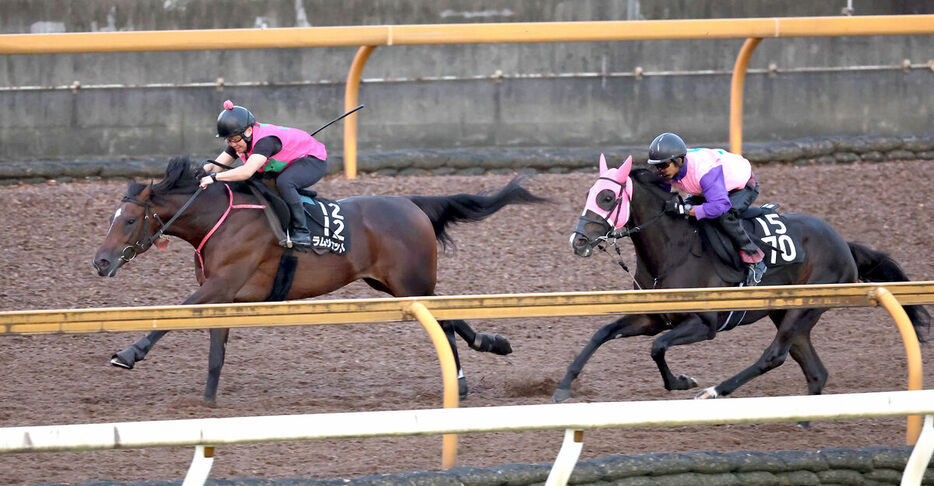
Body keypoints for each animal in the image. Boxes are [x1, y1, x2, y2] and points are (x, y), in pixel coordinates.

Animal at [93, 157, 548, 402]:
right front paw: (206, 404)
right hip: (390, 284)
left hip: (409, 283)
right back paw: (483, 354)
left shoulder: (219, 285)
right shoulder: (224, 295)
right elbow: (216, 350)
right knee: (448, 317)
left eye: (129, 219)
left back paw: (467, 373)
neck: (220, 219)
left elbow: (175, 313)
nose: (100, 261)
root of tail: (411, 202)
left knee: (445, 320)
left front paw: (128, 353)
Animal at [556, 155, 928, 402]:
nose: (578, 241)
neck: (674, 250)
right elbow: (603, 333)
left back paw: (715, 391)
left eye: (607, 197)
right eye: (589, 194)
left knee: (773, 355)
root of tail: (844, 245)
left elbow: (657, 347)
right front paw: (563, 387)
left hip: (804, 307)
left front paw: (682, 382)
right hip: (785, 312)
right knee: (812, 368)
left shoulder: (703, 325)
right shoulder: (654, 317)